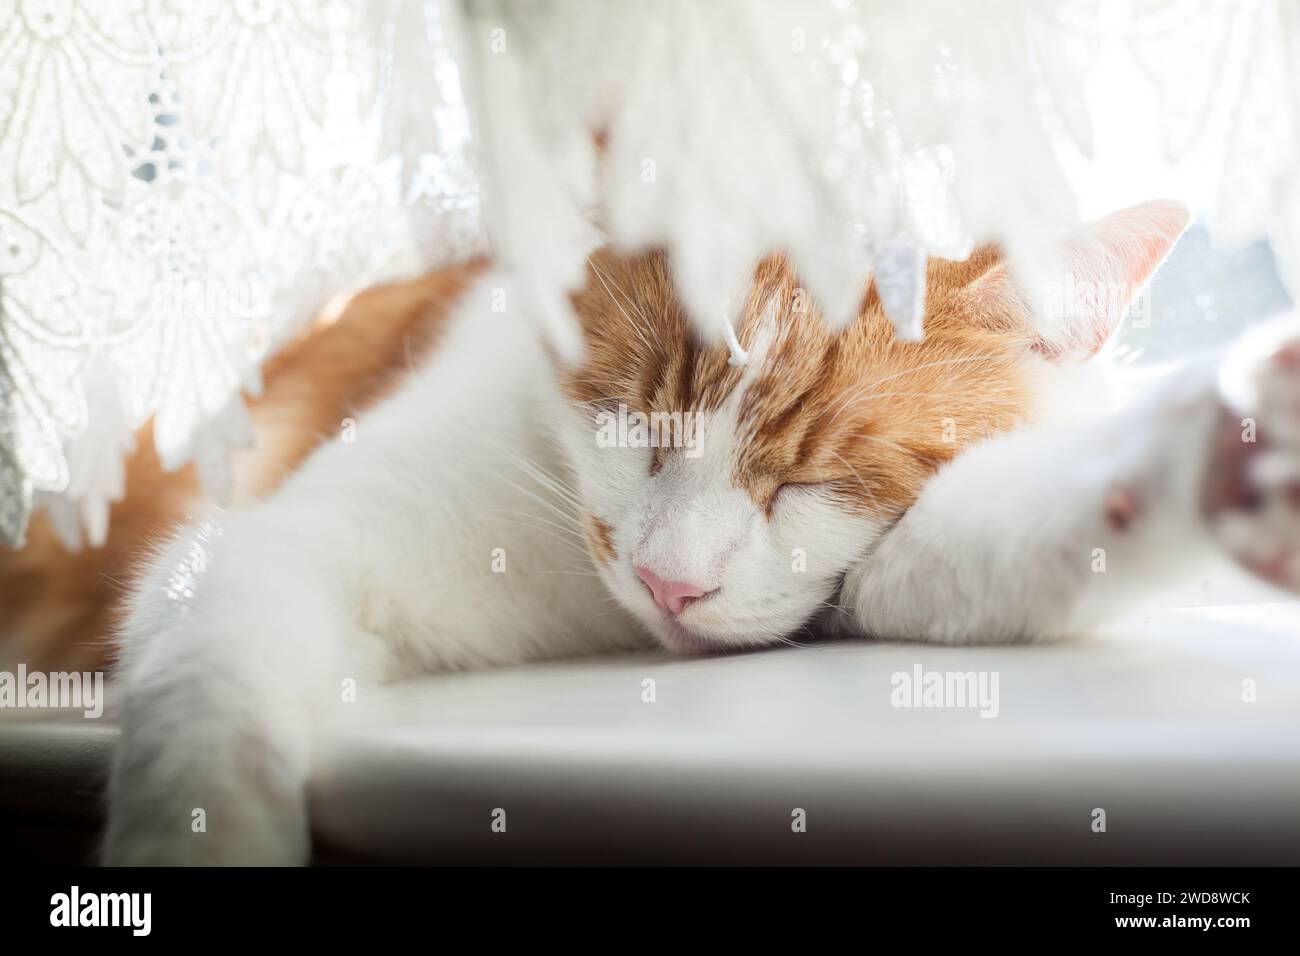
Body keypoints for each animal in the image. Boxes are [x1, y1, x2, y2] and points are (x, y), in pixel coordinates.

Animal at [86, 197, 1300, 863]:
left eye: (811, 483)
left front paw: (1216, 453)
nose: (668, 583)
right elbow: (210, 698)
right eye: (636, 419)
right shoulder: (281, 543)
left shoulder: (874, 571)